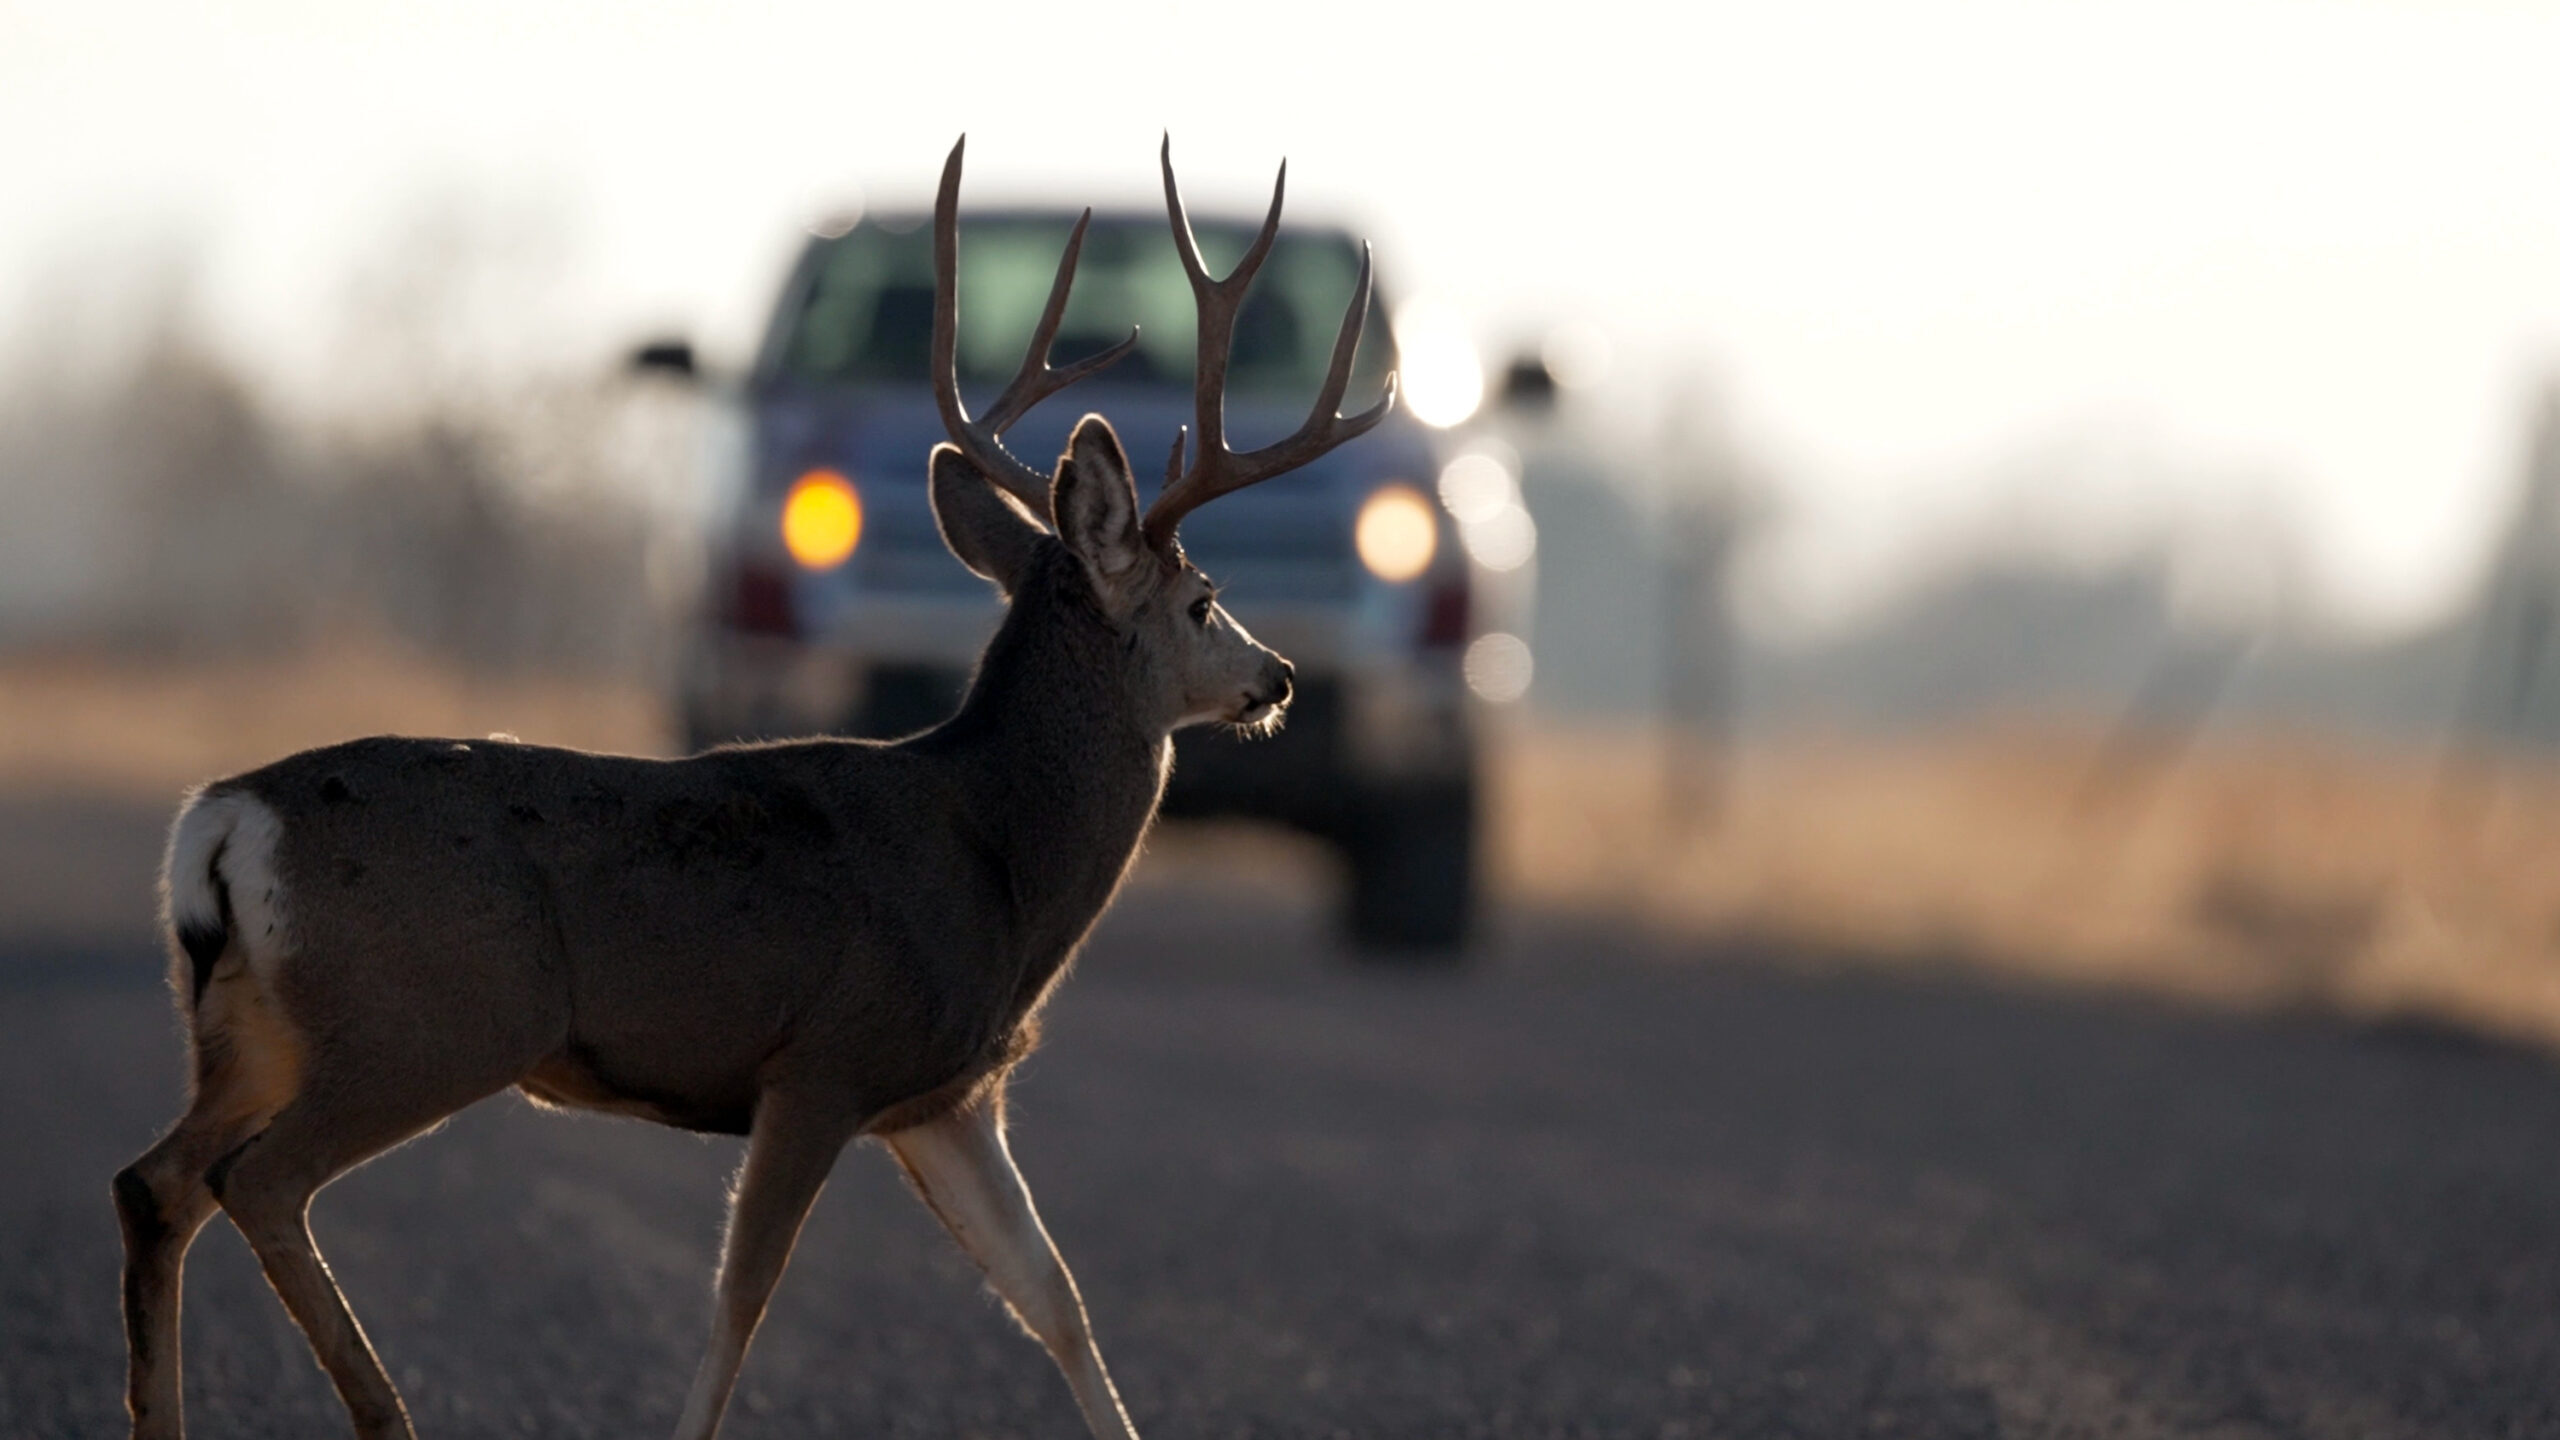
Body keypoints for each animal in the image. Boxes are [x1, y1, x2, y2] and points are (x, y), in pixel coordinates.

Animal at [115, 137, 1402, 1434]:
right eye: (1202, 601)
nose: (1278, 676)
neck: (998, 860)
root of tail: (226, 819)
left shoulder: (946, 1095)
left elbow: (1053, 1299)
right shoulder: (826, 1058)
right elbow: (744, 1296)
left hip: (256, 1025)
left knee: (154, 1178)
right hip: (430, 1018)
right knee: (257, 1180)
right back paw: (386, 1411)